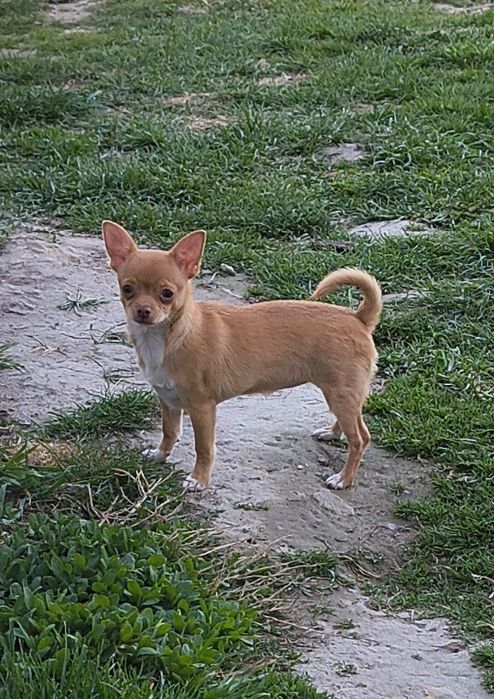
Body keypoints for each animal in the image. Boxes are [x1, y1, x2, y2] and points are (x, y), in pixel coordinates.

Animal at [103, 220, 382, 492]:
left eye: (167, 294)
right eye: (127, 289)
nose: (143, 310)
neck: (167, 338)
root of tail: (358, 318)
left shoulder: (202, 408)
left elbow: (203, 448)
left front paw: (198, 480)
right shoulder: (168, 399)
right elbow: (168, 432)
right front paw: (160, 455)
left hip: (340, 392)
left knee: (360, 438)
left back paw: (344, 478)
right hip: (341, 394)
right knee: (352, 419)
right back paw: (332, 433)